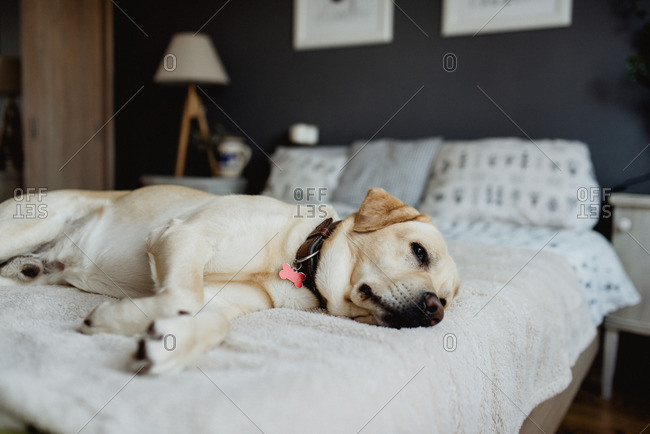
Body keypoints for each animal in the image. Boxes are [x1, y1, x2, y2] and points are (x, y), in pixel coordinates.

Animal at [0, 186, 458, 372]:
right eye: (419, 252)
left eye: (448, 299)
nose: (435, 311)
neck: (296, 258)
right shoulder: (185, 235)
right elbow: (183, 294)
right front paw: (113, 319)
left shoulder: (218, 297)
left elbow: (213, 321)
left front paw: (165, 343)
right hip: (27, 226)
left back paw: (28, 269)